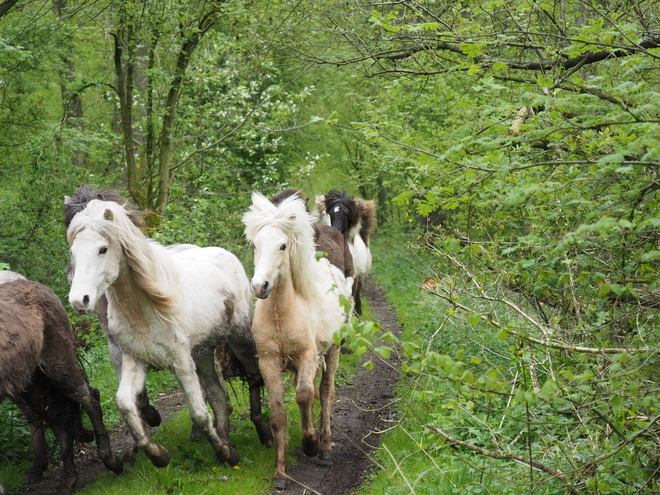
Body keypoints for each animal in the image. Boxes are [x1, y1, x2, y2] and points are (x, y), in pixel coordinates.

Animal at [0, 274, 123, 494]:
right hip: (31, 381)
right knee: (55, 417)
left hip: (57, 362)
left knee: (88, 398)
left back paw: (110, 460)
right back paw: (67, 479)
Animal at [65, 197, 272, 468]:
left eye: (102, 249)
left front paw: (226, 453)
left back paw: (264, 433)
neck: (143, 310)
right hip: (203, 354)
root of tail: (225, 254)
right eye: (74, 253)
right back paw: (226, 442)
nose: (80, 301)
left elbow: (198, 414)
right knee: (218, 396)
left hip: (238, 338)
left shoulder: (181, 362)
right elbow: (126, 405)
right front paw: (159, 456)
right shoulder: (135, 360)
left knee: (254, 375)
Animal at [244, 192, 356, 490]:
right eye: (255, 245)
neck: (281, 315)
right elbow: (278, 414)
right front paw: (280, 473)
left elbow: (305, 396)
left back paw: (325, 446)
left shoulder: (307, 356)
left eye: (283, 246)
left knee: (325, 392)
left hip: (332, 351)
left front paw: (310, 444)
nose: (260, 286)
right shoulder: (269, 364)